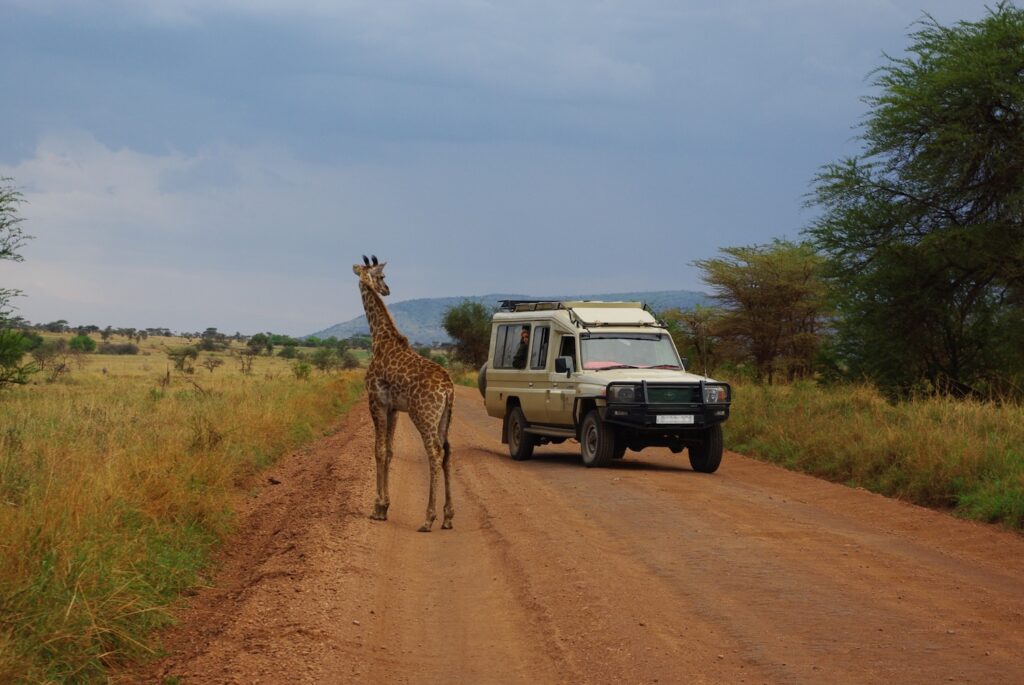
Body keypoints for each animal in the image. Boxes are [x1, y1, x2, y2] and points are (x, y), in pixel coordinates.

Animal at [352, 255, 455, 532]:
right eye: (382, 277)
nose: (387, 290)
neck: (379, 339)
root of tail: (449, 388)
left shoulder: (375, 401)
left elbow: (378, 449)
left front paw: (377, 508)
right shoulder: (394, 408)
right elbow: (389, 451)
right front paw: (384, 507)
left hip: (423, 416)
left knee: (434, 453)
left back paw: (429, 518)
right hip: (444, 418)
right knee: (447, 452)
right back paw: (448, 516)